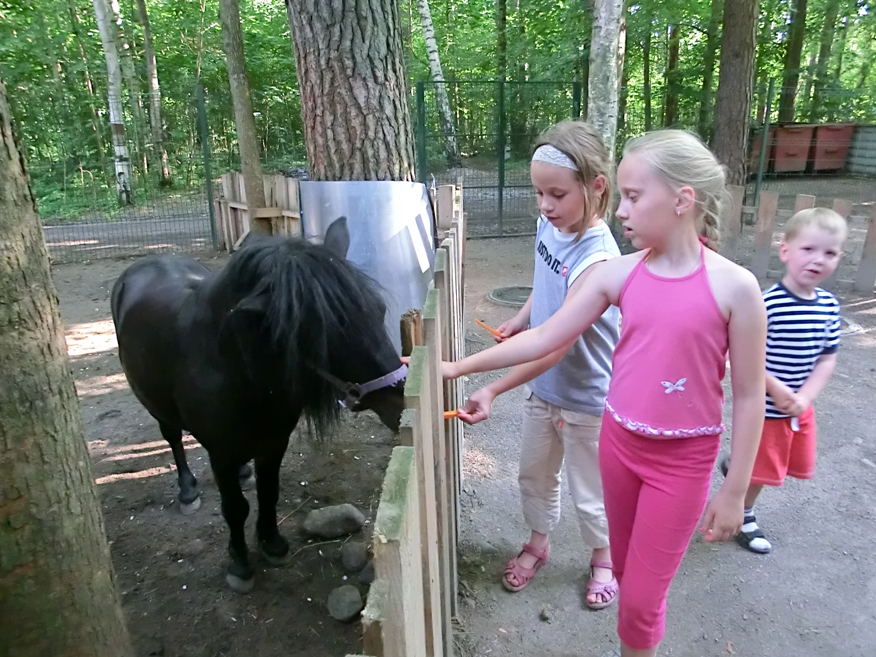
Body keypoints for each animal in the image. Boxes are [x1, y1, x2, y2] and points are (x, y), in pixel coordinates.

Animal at [110, 218, 408, 592]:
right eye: (320, 335)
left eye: (379, 311)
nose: (401, 402)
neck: (238, 370)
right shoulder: (221, 453)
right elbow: (235, 507)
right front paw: (239, 562)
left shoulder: (274, 442)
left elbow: (269, 491)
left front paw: (272, 542)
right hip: (158, 407)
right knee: (174, 438)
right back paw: (188, 491)